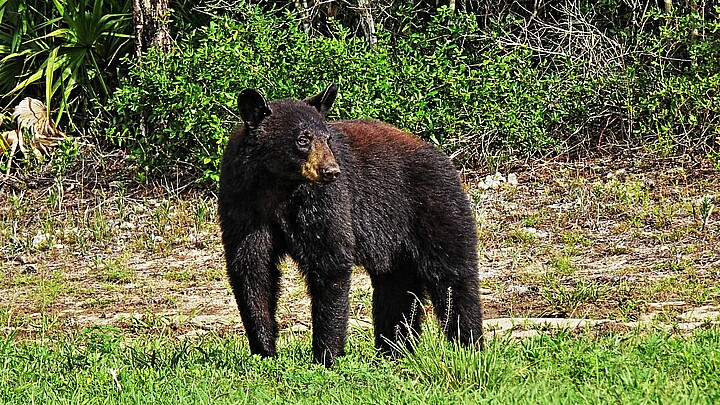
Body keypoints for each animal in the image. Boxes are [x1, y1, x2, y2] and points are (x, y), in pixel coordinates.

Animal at [217, 83, 480, 364]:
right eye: (303, 139)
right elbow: (251, 268)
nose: (331, 170)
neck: (278, 185)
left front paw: (326, 356)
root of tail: (444, 159)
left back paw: (468, 344)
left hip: (434, 208)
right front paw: (264, 351)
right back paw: (394, 350)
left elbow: (330, 261)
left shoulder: (324, 201)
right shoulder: (242, 202)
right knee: (396, 290)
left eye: (327, 139)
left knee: (453, 276)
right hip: (397, 245)